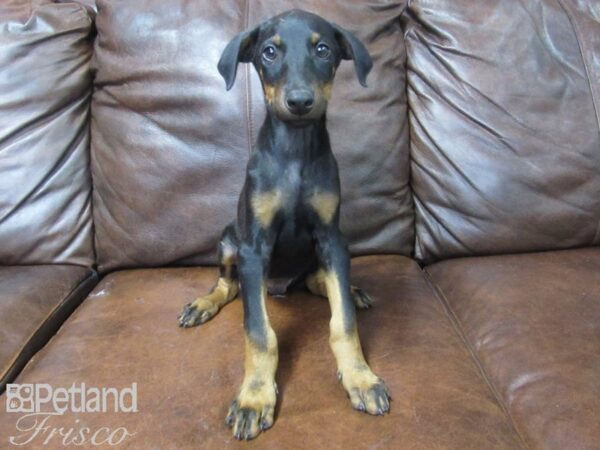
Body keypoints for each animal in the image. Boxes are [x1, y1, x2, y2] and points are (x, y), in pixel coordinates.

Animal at [178, 8, 392, 442]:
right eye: (270, 51)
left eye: (323, 49)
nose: (299, 102)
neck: (295, 149)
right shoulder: (253, 247)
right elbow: (259, 333)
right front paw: (254, 397)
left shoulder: (331, 239)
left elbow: (344, 322)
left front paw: (360, 377)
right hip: (230, 241)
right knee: (229, 285)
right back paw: (204, 304)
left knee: (319, 282)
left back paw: (347, 289)